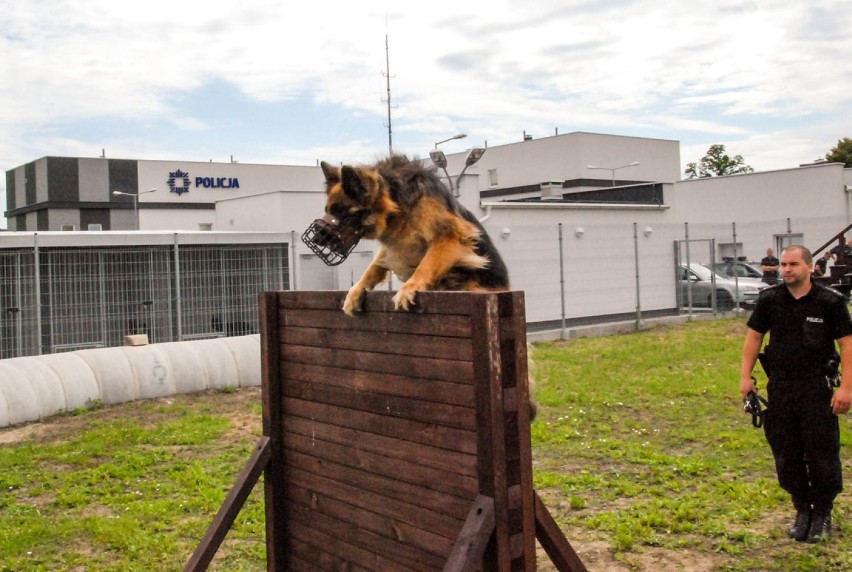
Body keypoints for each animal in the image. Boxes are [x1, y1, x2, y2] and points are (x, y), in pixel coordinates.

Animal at [314, 154, 510, 316]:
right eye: (327, 210)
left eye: (342, 213)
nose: (316, 239)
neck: (396, 203)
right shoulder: (392, 247)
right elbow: (373, 267)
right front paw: (356, 290)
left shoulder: (448, 237)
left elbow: (426, 265)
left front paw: (410, 287)